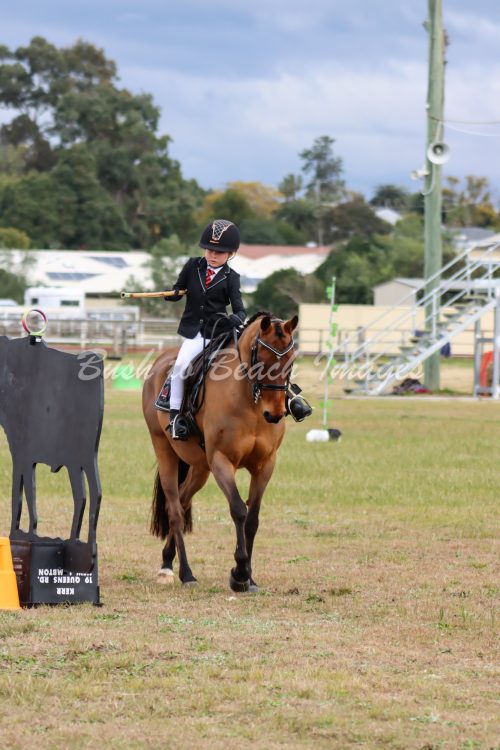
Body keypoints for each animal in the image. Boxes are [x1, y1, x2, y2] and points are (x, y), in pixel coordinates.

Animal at [142, 311, 298, 592]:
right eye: (262, 360)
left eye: (290, 361)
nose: (275, 414)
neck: (250, 402)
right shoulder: (221, 461)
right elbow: (238, 510)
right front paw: (239, 574)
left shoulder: (265, 465)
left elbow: (253, 519)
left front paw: (250, 578)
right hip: (164, 450)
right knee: (174, 510)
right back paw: (185, 573)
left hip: (199, 468)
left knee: (183, 500)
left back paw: (168, 561)